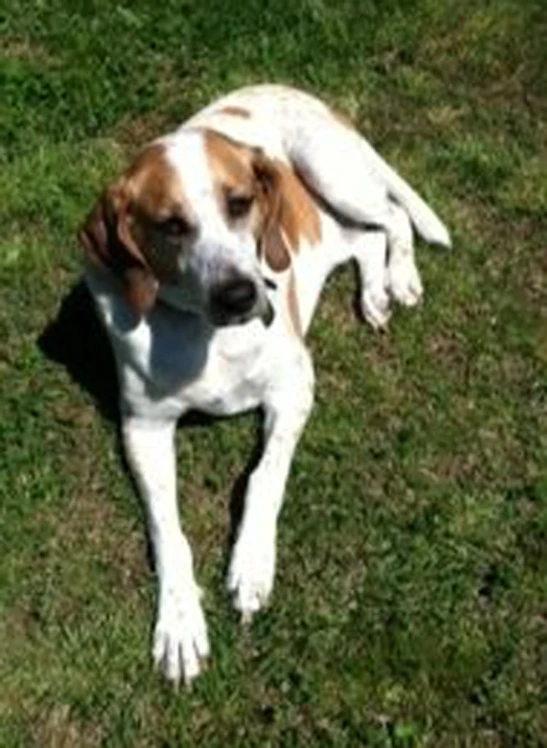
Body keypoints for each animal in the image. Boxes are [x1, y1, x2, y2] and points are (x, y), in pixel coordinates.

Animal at [80, 83, 450, 684]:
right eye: (170, 224)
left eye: (239, 202)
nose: (239, 295)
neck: (205, 333)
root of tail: (290, 88)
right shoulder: (143, 428)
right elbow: (167, 529)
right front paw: (179, 620)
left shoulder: (294, 388)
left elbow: (264, 478)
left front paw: (252, 562)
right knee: (364, 240)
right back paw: (374, 291)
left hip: (331, 171)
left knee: (391, 216)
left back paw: (401, 276)